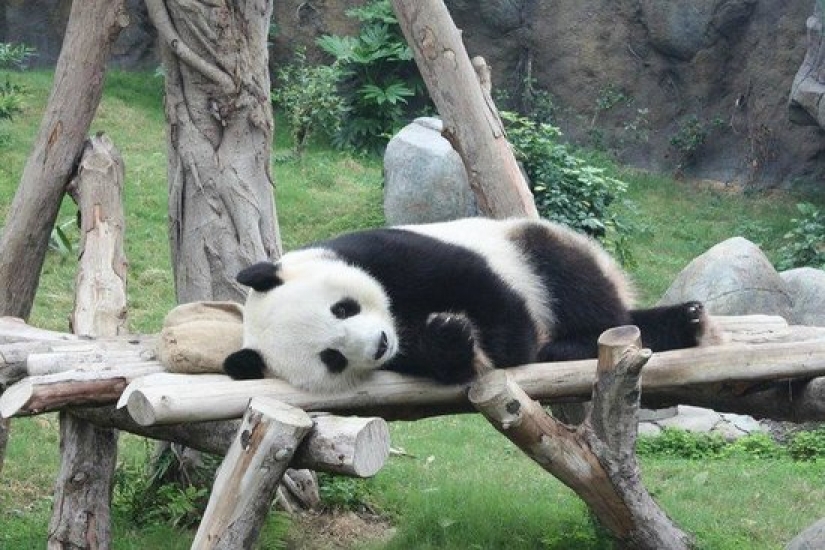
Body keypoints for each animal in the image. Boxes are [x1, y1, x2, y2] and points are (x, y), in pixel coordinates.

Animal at [223, 217, 720, 392]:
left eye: (341, 309)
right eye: (332, 358)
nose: (379, 343)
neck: (399, 319)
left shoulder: (384, 252)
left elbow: (475, 282)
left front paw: (508, 345)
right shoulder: (401, 359)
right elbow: (438, 362)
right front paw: (449, 337)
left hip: (535, 242)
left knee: (591, 301)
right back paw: (686, 321)